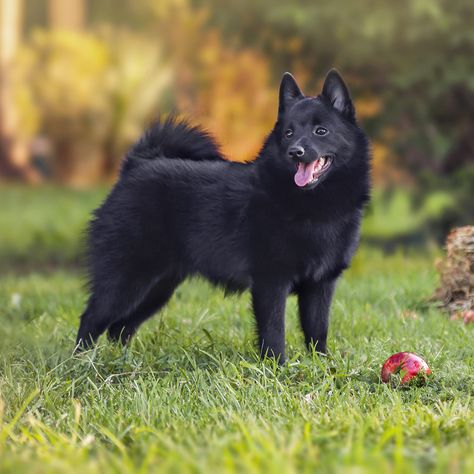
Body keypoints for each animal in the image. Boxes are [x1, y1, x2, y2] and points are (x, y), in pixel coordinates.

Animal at [77, 69, 370, 362]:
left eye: (321, 131)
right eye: (289, 133)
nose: (295, 151)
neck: (312, 207)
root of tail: (135, 166)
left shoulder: (321, 285)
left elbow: (317, 330)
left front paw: (322, 364)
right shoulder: (271, 282)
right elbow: (274, 331)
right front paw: (277, 366)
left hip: (158, 287)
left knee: (120, 326)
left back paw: (123, 360)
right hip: (127, 279)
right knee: (91, 318)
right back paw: (81, 362)